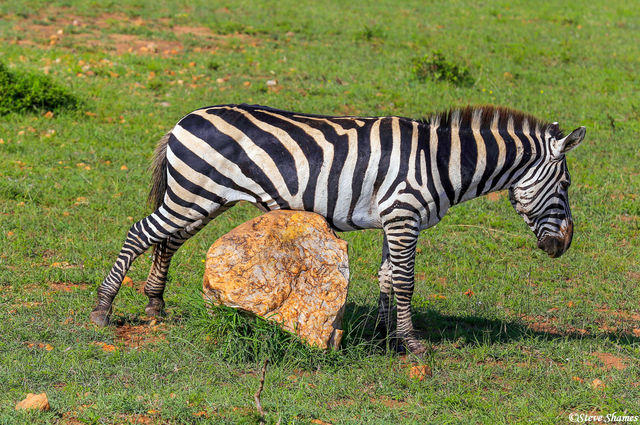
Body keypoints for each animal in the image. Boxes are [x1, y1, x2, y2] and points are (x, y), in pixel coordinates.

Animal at [90, 104, 585, 355]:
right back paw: (102, 310)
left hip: (198, 198)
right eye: (566, 184)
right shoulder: (404, 215)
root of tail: (185, 118)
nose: (563, 245)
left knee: (167, 240)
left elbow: (388, 278)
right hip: (193, 193)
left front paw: (386, 337)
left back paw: (155, 304)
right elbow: (406, 281)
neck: (440, 162)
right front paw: (412, 343)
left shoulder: (393, 219)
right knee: (140, 234)